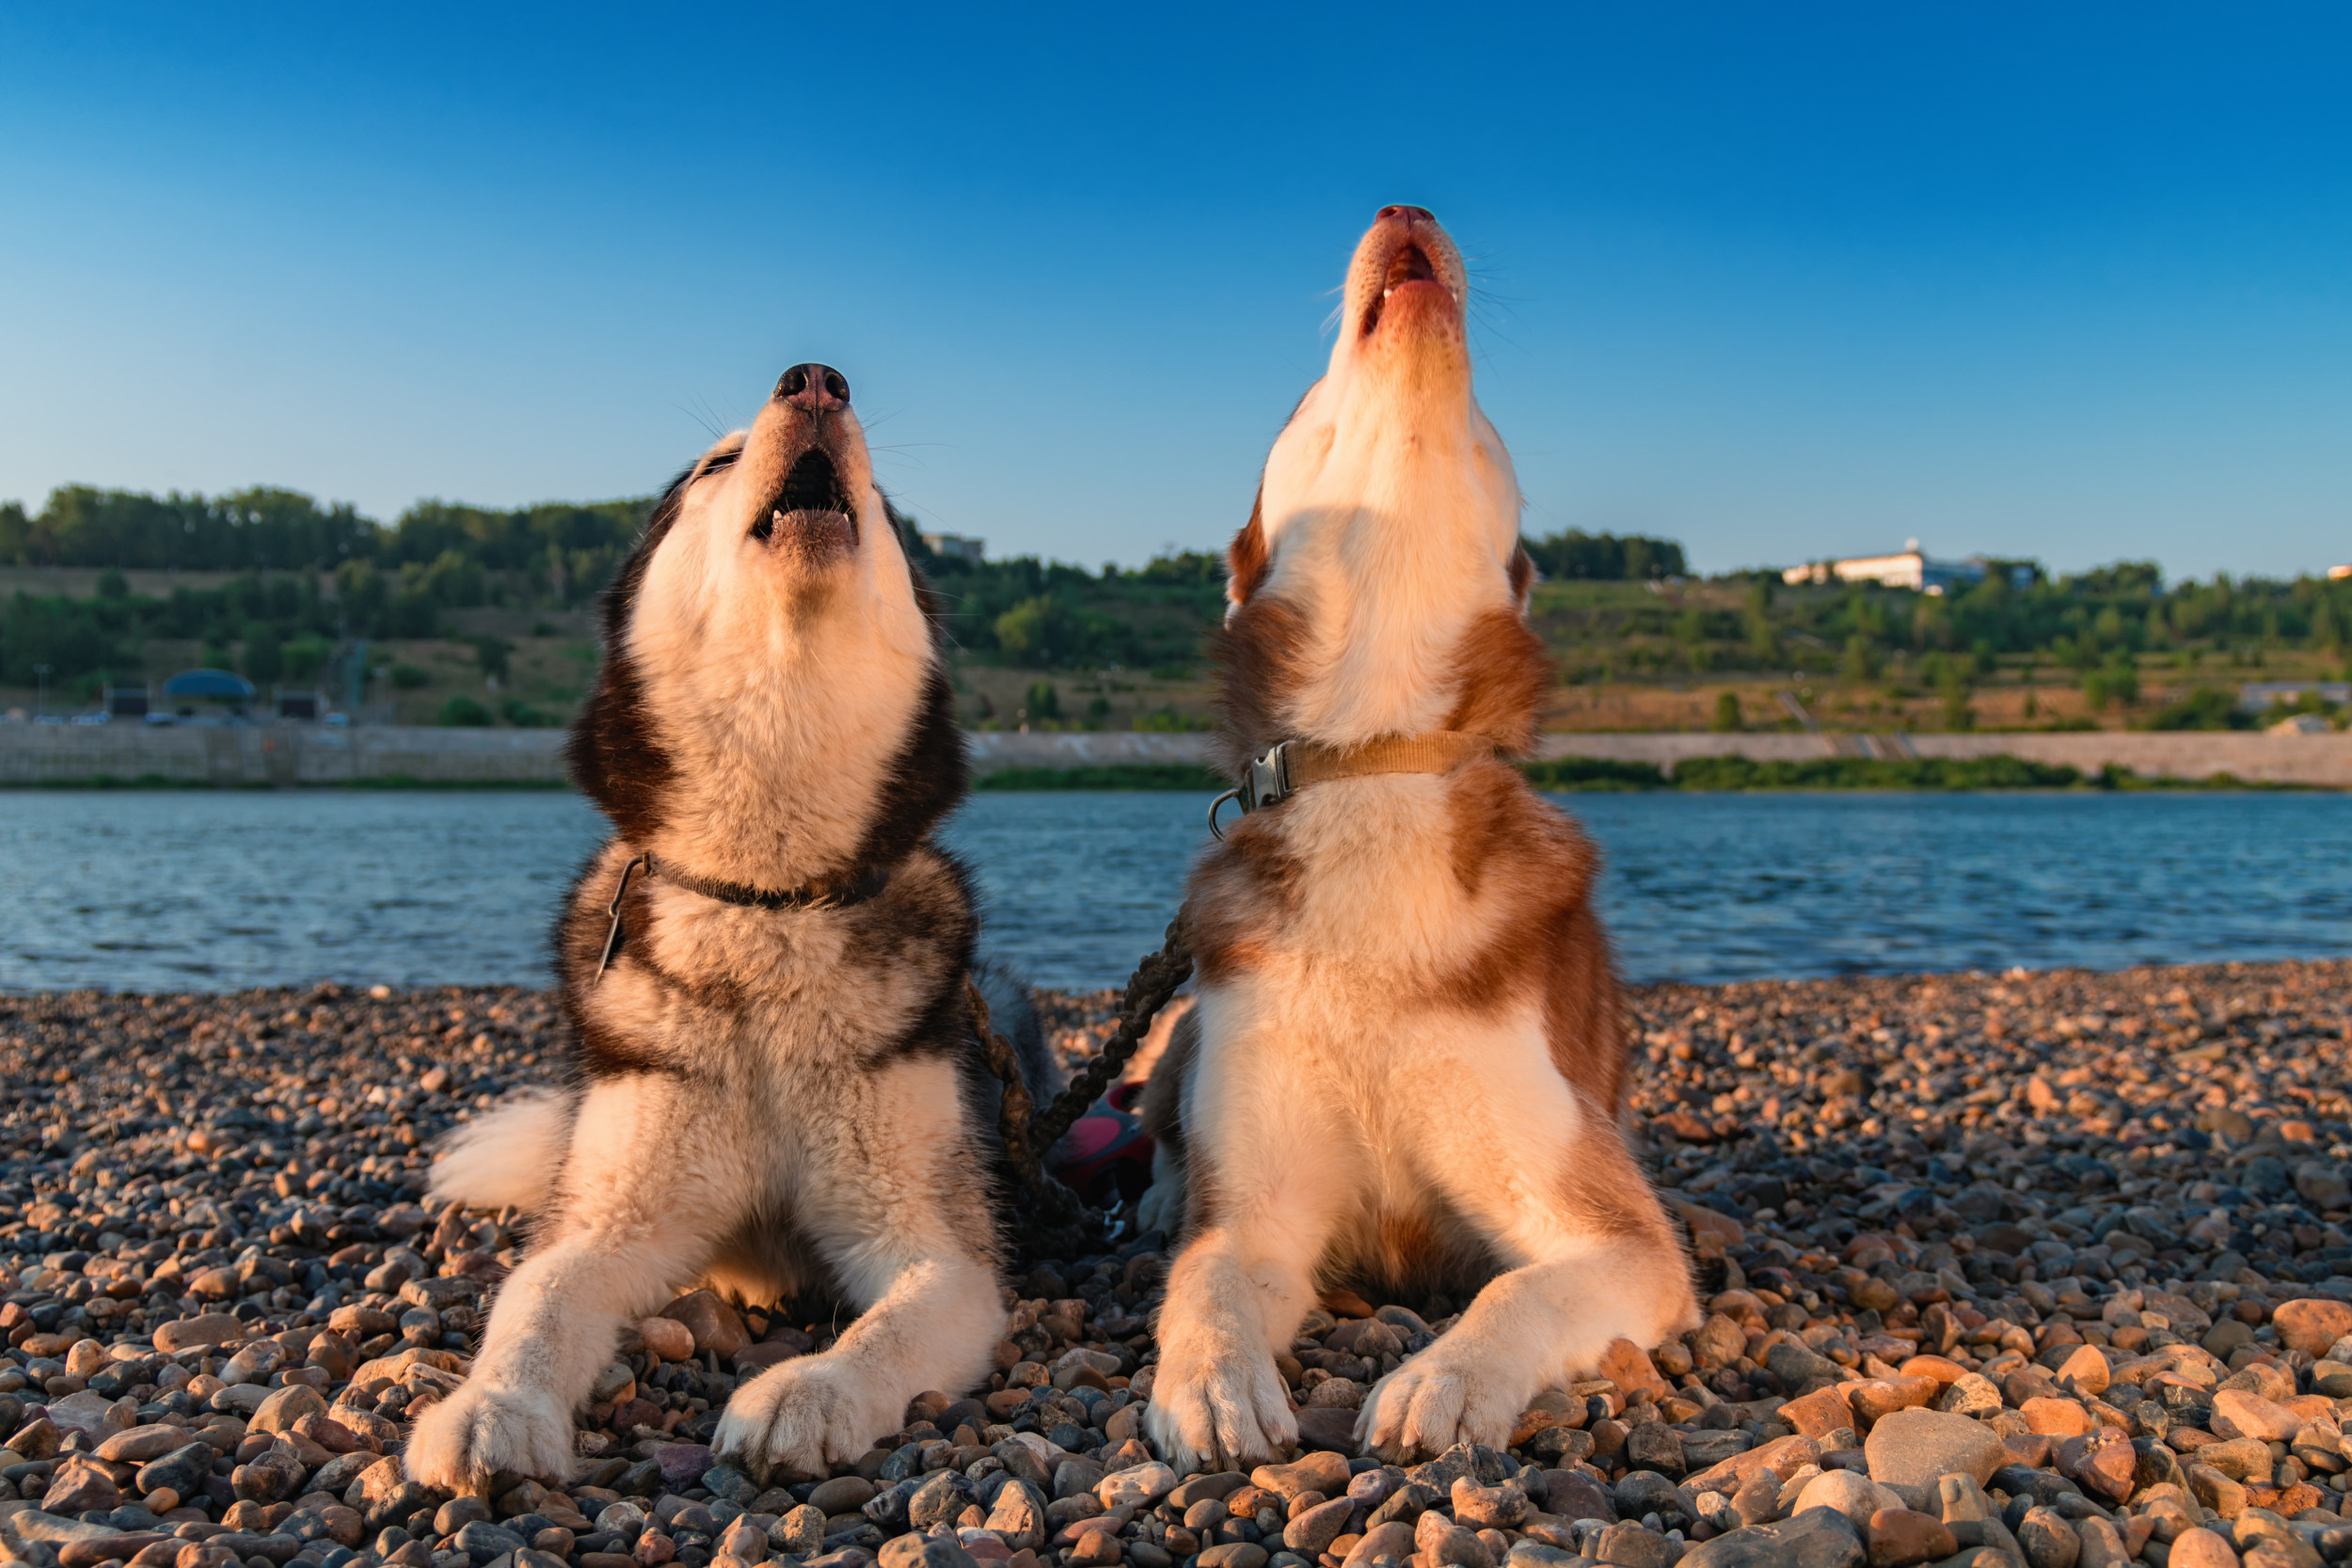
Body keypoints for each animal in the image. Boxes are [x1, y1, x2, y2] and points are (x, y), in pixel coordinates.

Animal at [406, 361, 1058, 1495]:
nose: (816, 380)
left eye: (886, 502)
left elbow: (889, 1324)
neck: (770, 899)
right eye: (713, 464)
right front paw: (491, 1404)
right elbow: (536, 1298)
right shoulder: (614, 1212)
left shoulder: (942, 1249)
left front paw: (811, 1389)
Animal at [1138, 205, 1693, 1476]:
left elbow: (1518, 1290)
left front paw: (1443, 1378)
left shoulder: (1617, 1235)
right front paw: (1211, 1381)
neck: (1376, 752)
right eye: (1306, 403)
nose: (1407, 213)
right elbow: (1204, 1282)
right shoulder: (1257, 1212)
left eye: (1489, 422)